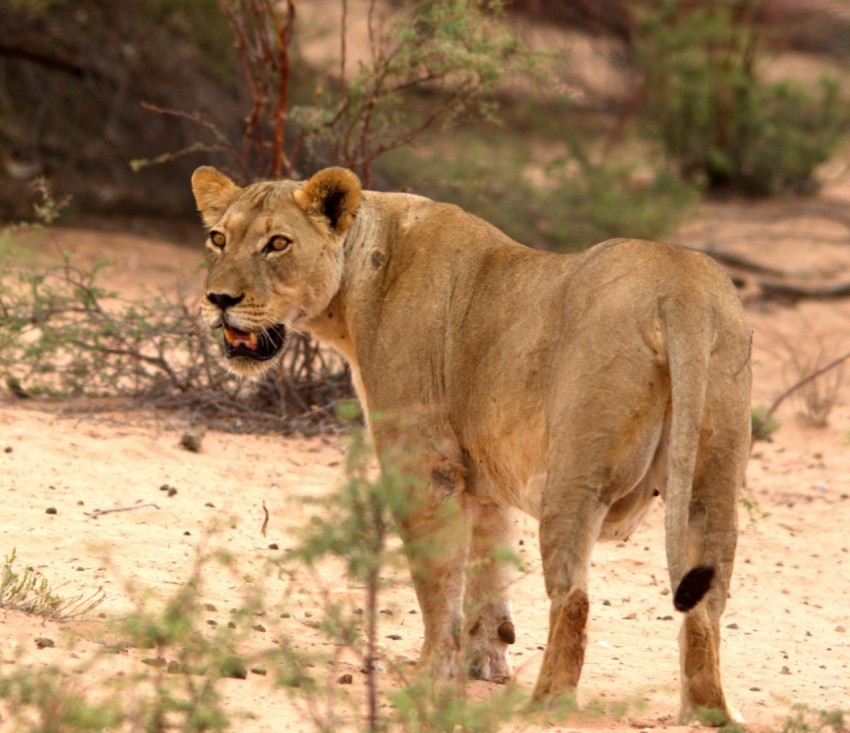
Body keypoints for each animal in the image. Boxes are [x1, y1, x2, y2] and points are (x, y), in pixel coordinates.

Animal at [191, 165, 751, 724]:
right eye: (218, 239)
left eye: (277, 243)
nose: (219, 300)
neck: (356, 283)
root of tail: (682, 288)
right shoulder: (484, 476)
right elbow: (489, 568)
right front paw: (486, 660)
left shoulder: (424, 464)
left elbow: (439, 582)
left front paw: (430, 673)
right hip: (710, 479)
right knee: (706, 602)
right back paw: (708, 713)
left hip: (577, 472)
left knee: (573, 597)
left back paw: (545, 704)